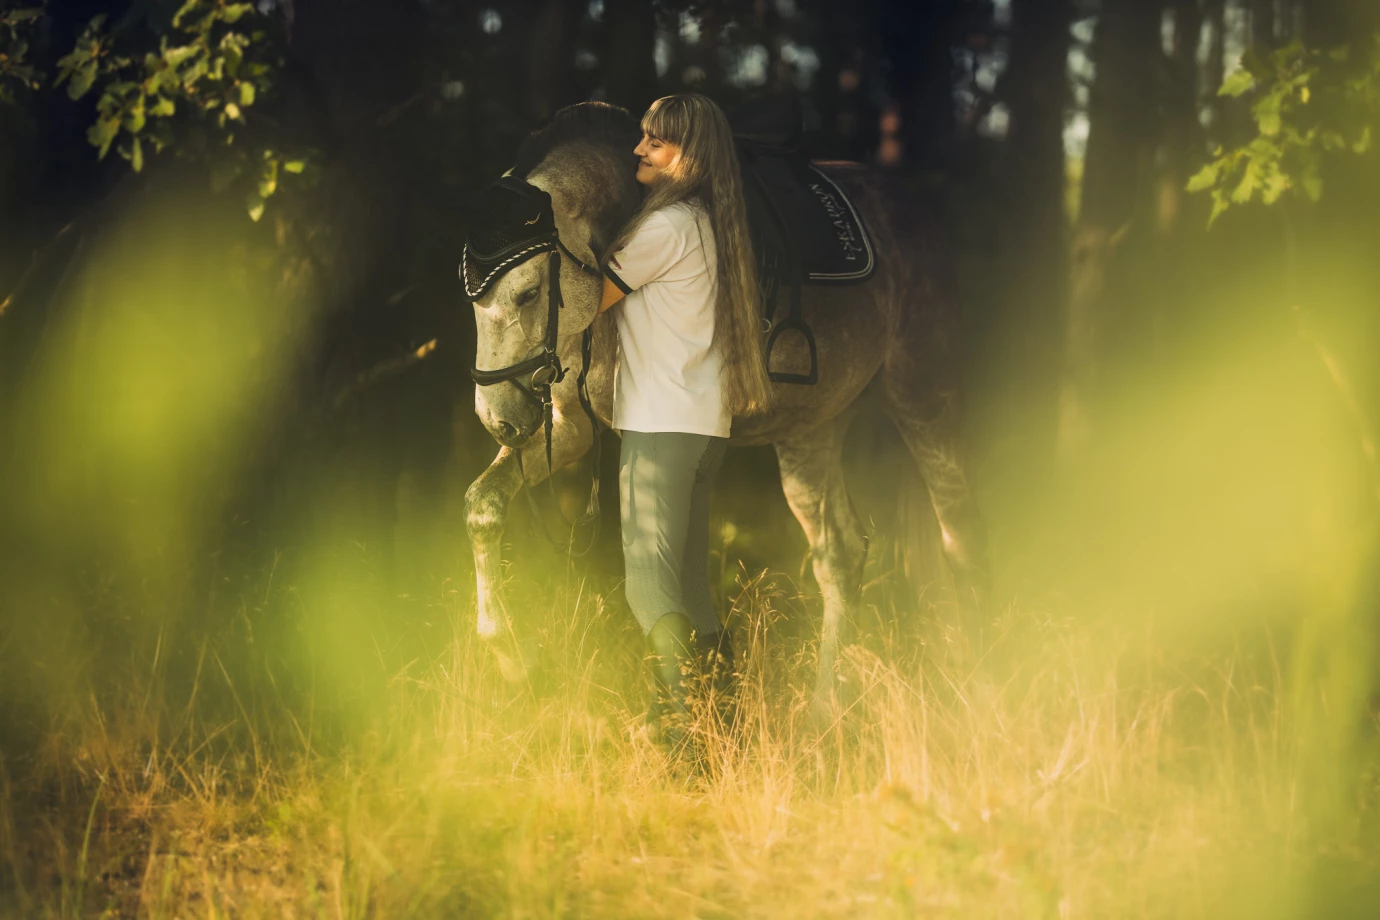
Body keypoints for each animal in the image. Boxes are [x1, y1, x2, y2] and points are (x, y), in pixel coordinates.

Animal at [469, 102, 988, 706]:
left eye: (528, 293)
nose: (497, 420)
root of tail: (916, 216)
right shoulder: (571, 428)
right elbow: (482, 505)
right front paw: (509, 655)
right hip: (811, 431)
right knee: (842, 555)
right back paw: (823, 712)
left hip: (925, 399)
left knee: (961, 540)